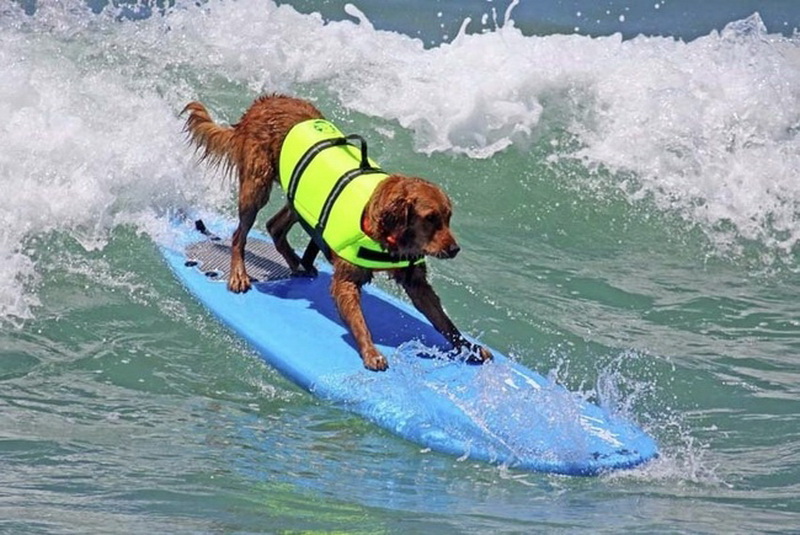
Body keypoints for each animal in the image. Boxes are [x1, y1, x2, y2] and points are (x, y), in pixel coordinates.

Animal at [184, 94, 490, 370]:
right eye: (430, 218)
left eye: (448, 218)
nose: (454, 249)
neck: (385, 231)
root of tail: (263, 103)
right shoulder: (346, 281)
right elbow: (360, 322)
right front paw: (371, 352)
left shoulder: (416, 282)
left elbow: (444, 322)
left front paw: (469, 347)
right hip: (256, 185)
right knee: (240, 235)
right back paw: (239, 274)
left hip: (297, 197)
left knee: (274, 226)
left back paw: (299, 265)